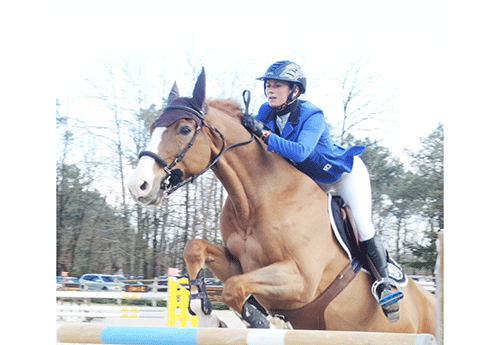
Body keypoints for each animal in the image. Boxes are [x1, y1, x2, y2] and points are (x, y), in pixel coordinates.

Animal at [127, 68, 436, 334]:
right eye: (153, 127)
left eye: (184, 130)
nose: (138, 186)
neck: (255, 199)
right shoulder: (242, 264)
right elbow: (195, 249)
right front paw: (207, 315)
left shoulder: (301, 279)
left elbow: (233, 288)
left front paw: (261, 321)